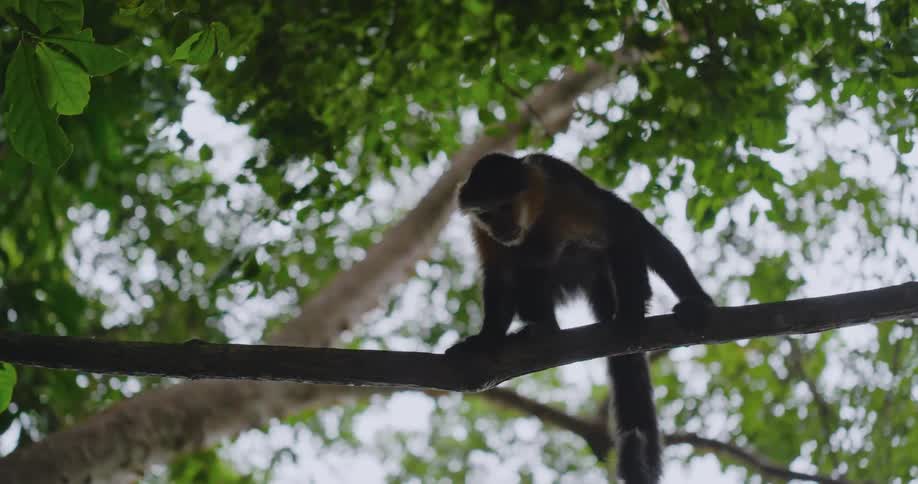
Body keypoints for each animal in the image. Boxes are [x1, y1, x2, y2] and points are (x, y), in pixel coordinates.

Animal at [445, 152, 714, 484]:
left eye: (505, 207)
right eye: (486, 214)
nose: (499, 227)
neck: (533, 214)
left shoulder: (562, 188)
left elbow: (622, 229)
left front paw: (630, 313)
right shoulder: (483, 232)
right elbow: (499, 275)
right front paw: (487, 339)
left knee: (639, 235)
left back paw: (687, 301)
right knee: (527, 268)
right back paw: (544, 329)